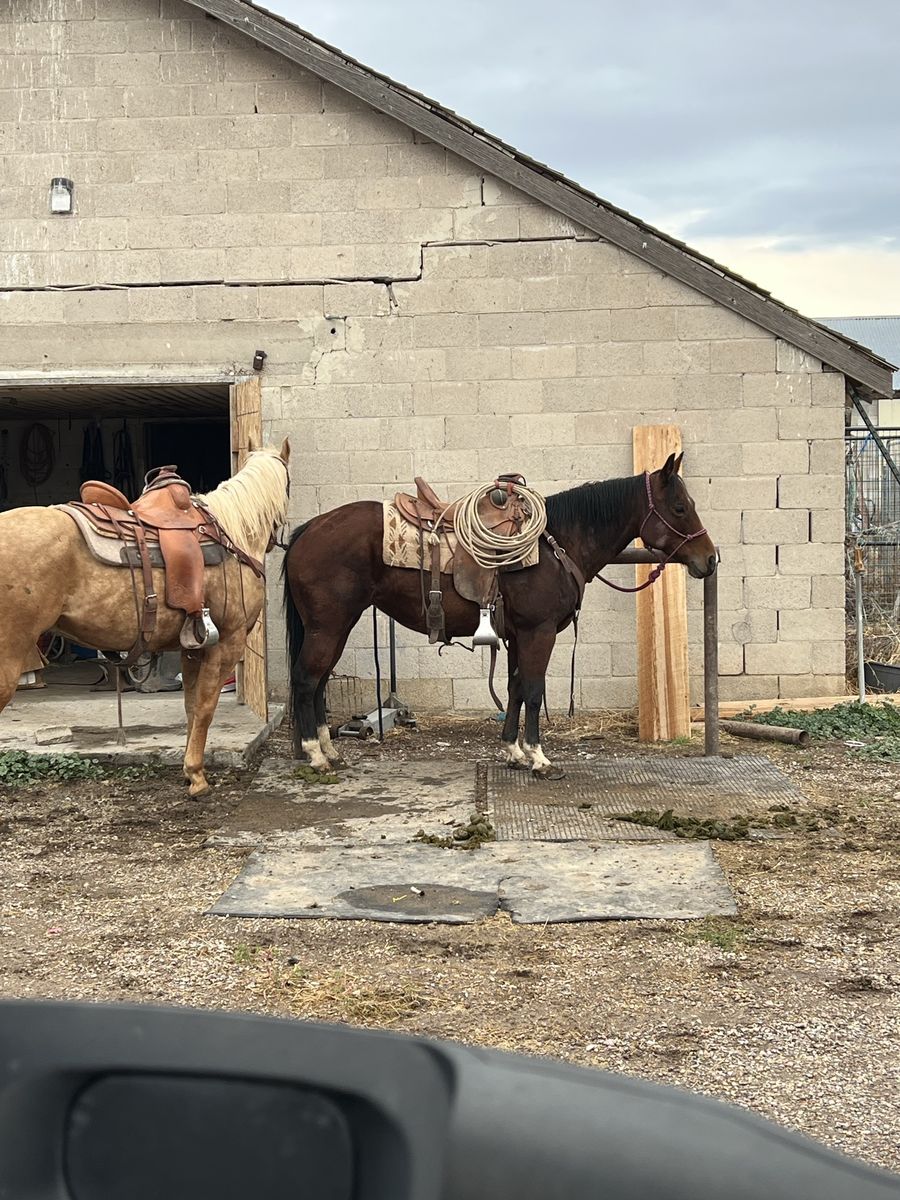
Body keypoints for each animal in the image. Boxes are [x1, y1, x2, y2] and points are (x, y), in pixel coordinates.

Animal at [0, 437, 291, 796]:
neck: (232, 537)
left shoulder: (191, 648)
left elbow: (191, 706)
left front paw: (189, 770)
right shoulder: (226, 642)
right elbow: (205, 707)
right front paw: (197, 777)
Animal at [282, 453, 717, 778]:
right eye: (680, 508)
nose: (710, 559)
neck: (557, 545)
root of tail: (308, 529)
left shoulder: (518, 635)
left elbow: (514, 689)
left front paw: (514, 751)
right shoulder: (540, 632)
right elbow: (534, 691)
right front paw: (539, 758)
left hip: (335, 627)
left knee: (319, 683)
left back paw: (329, 751)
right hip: (328, 626)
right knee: (306, 680)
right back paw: (315, 755)